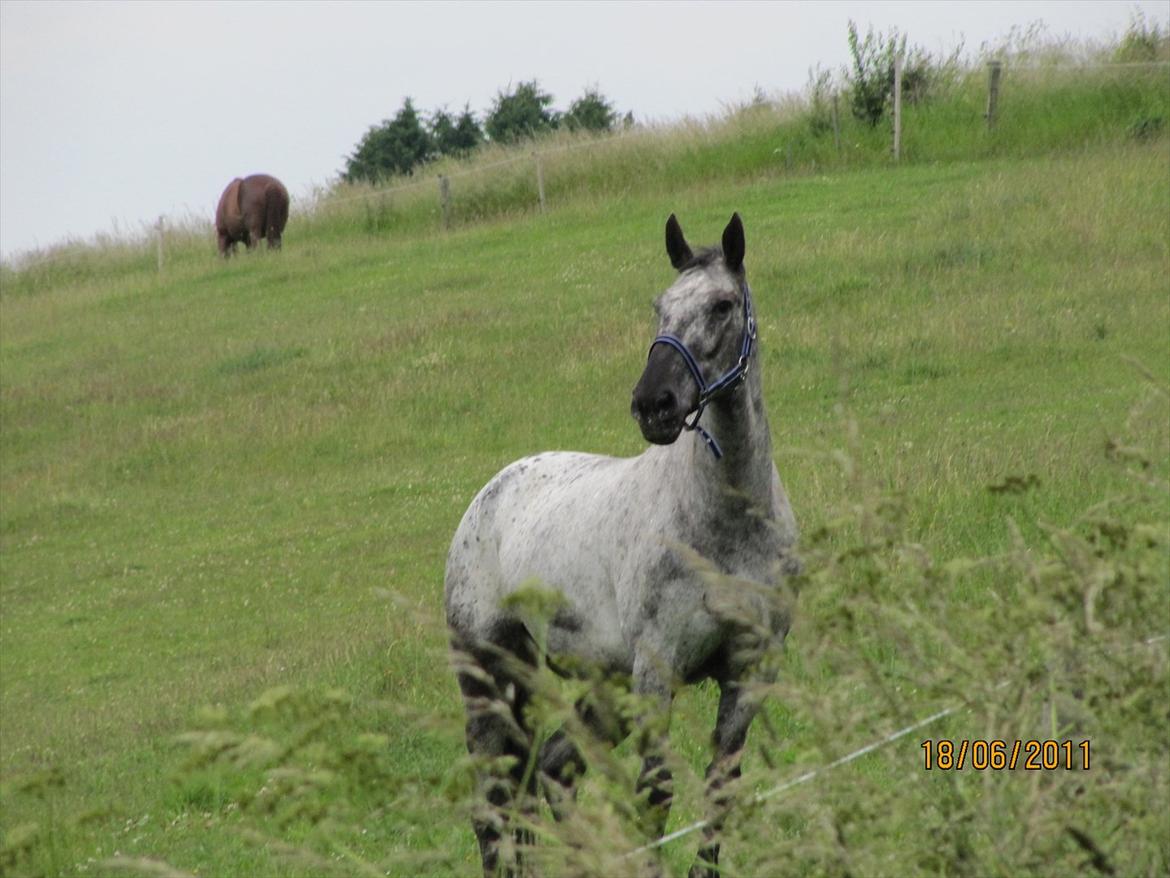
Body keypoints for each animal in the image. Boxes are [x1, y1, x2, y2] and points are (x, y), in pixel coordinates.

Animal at [442, 213, 800, 878]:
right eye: (660, 307)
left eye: (722, 305)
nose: (653, 404)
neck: (726, 525)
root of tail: (489, 493)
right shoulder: (656, 674)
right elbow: (655, 796)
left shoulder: (749, 673)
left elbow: (719, 791)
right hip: (490, 680)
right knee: (494, 807)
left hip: (596, 688)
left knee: (552, 772)